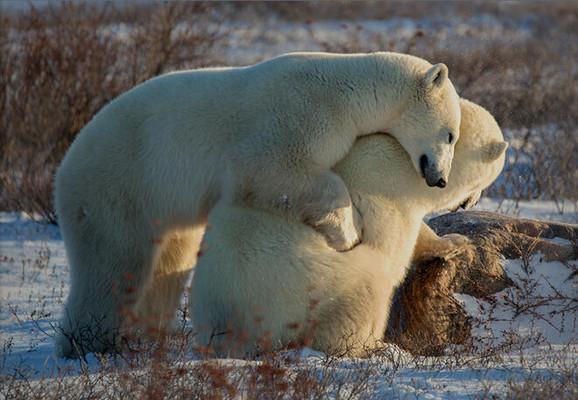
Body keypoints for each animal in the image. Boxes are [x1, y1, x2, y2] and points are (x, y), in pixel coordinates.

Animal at [54, 50, 460, 360]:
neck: (345, 90)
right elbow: (273, 169)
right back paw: (88, 344)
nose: (439, 178)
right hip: (118, 189)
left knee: (168, 264)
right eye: (450, 133)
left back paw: (147, 335)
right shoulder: (295, 117)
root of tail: (64, 166)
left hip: (162, 211)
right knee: (114, 267)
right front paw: (349, 233)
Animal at [188, 98, 504, 358]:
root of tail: (228, 326)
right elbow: (393, 244)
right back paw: (371, 346)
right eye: (488, 178)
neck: (404, 155)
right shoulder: (386, 189)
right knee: (362, 289)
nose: (470, 203)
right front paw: (455, 242)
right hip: (305, 284)